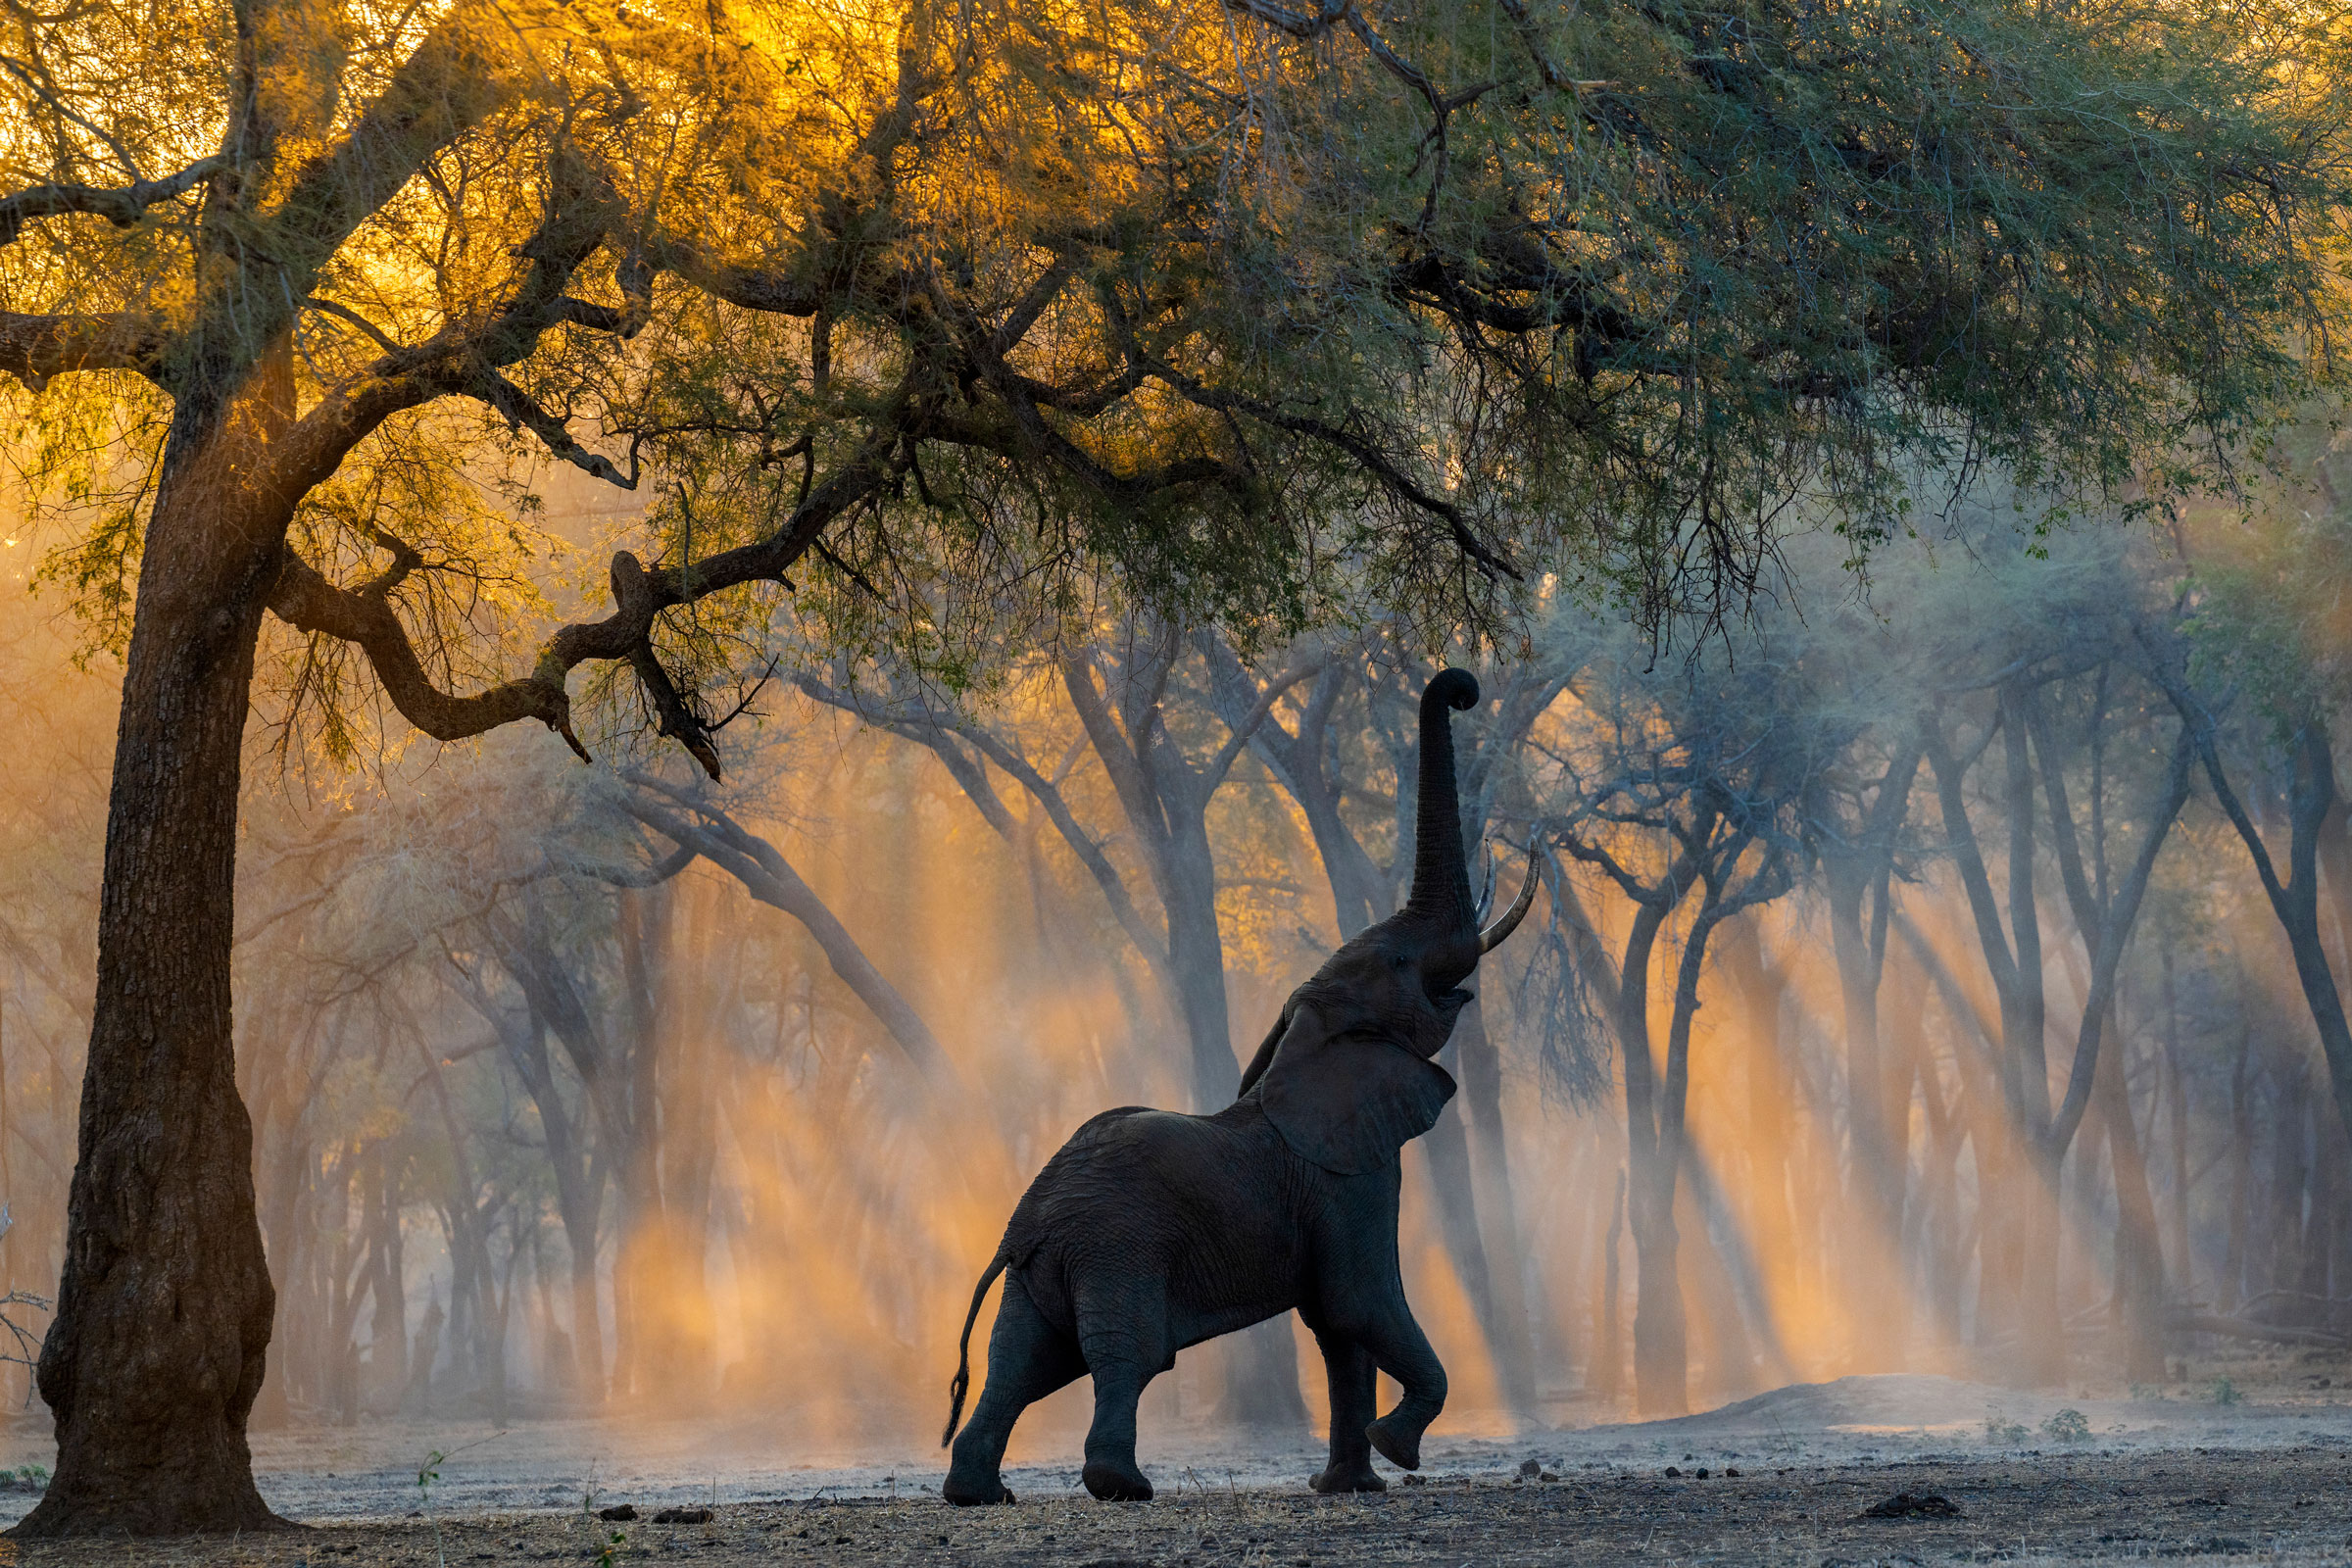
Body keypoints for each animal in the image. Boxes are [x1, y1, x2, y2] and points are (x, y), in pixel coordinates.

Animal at [939, 667, 1538, 1506]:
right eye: (1398, 963)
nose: (1462, 688)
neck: (1303, 1038)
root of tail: (1025, 1223)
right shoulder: (1347, 1179)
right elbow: (1359, 1300)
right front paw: (1396, 1449)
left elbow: (1337, 1326)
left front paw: (1351, 1486)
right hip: (1118, 1248)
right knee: (1126, 1357)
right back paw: (1124, 1486)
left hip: (1041, 1271)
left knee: (1021, 1363)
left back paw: (979, 1493)